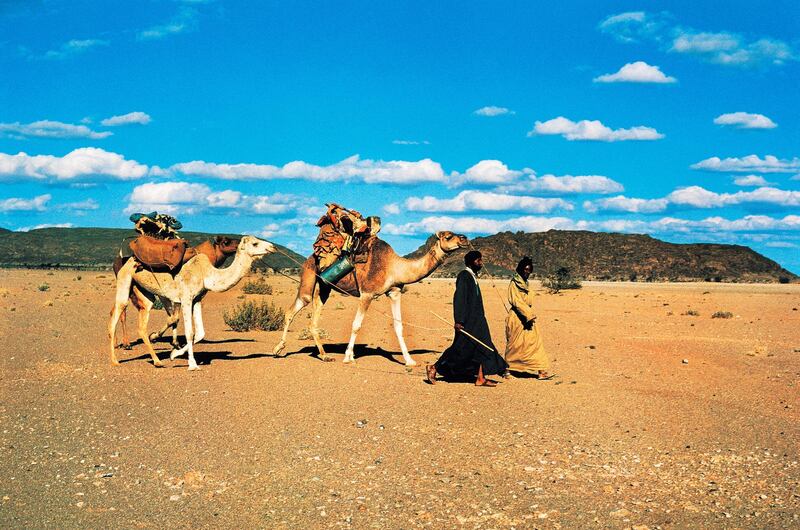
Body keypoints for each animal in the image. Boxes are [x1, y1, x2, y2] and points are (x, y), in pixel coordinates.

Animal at [111, 236, 241, 350]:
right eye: (226, 241)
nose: (239, 242)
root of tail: (116, 260)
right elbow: (173, 318)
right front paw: (154, 336)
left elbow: (174, 317)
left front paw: (175, 343)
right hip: (126, 283)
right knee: (122, 311)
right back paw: (126, 344)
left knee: (114, 310)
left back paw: (116, 343)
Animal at [274, 229, 468, 366]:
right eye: (448, 236)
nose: (465, 239)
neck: (394, 267)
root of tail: (311, 256)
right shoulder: (367, 294)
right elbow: (356, 325)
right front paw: (348, 357)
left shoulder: (394, 292)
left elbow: (399, 326)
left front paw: (409, 361)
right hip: (309, 274)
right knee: (295, 307)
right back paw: (278, 348)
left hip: (325, 287)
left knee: (313, 320)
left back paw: (324, 356)